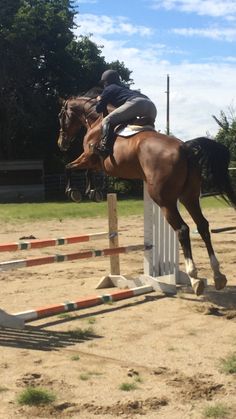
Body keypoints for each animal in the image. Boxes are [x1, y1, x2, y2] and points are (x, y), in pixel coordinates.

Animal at [57, 90, 236, 296]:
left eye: (61, 116)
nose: (61, 143)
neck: (96, 120)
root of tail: (185, 147)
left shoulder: (89, 157)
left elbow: (69, 167)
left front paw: (75, 191)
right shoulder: (95, 163)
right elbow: (84, 171)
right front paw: (92, 191)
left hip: (164, 200)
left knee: (183, 229)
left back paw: (194, 278)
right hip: (188, 197)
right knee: (203, 226)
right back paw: (218, 276)